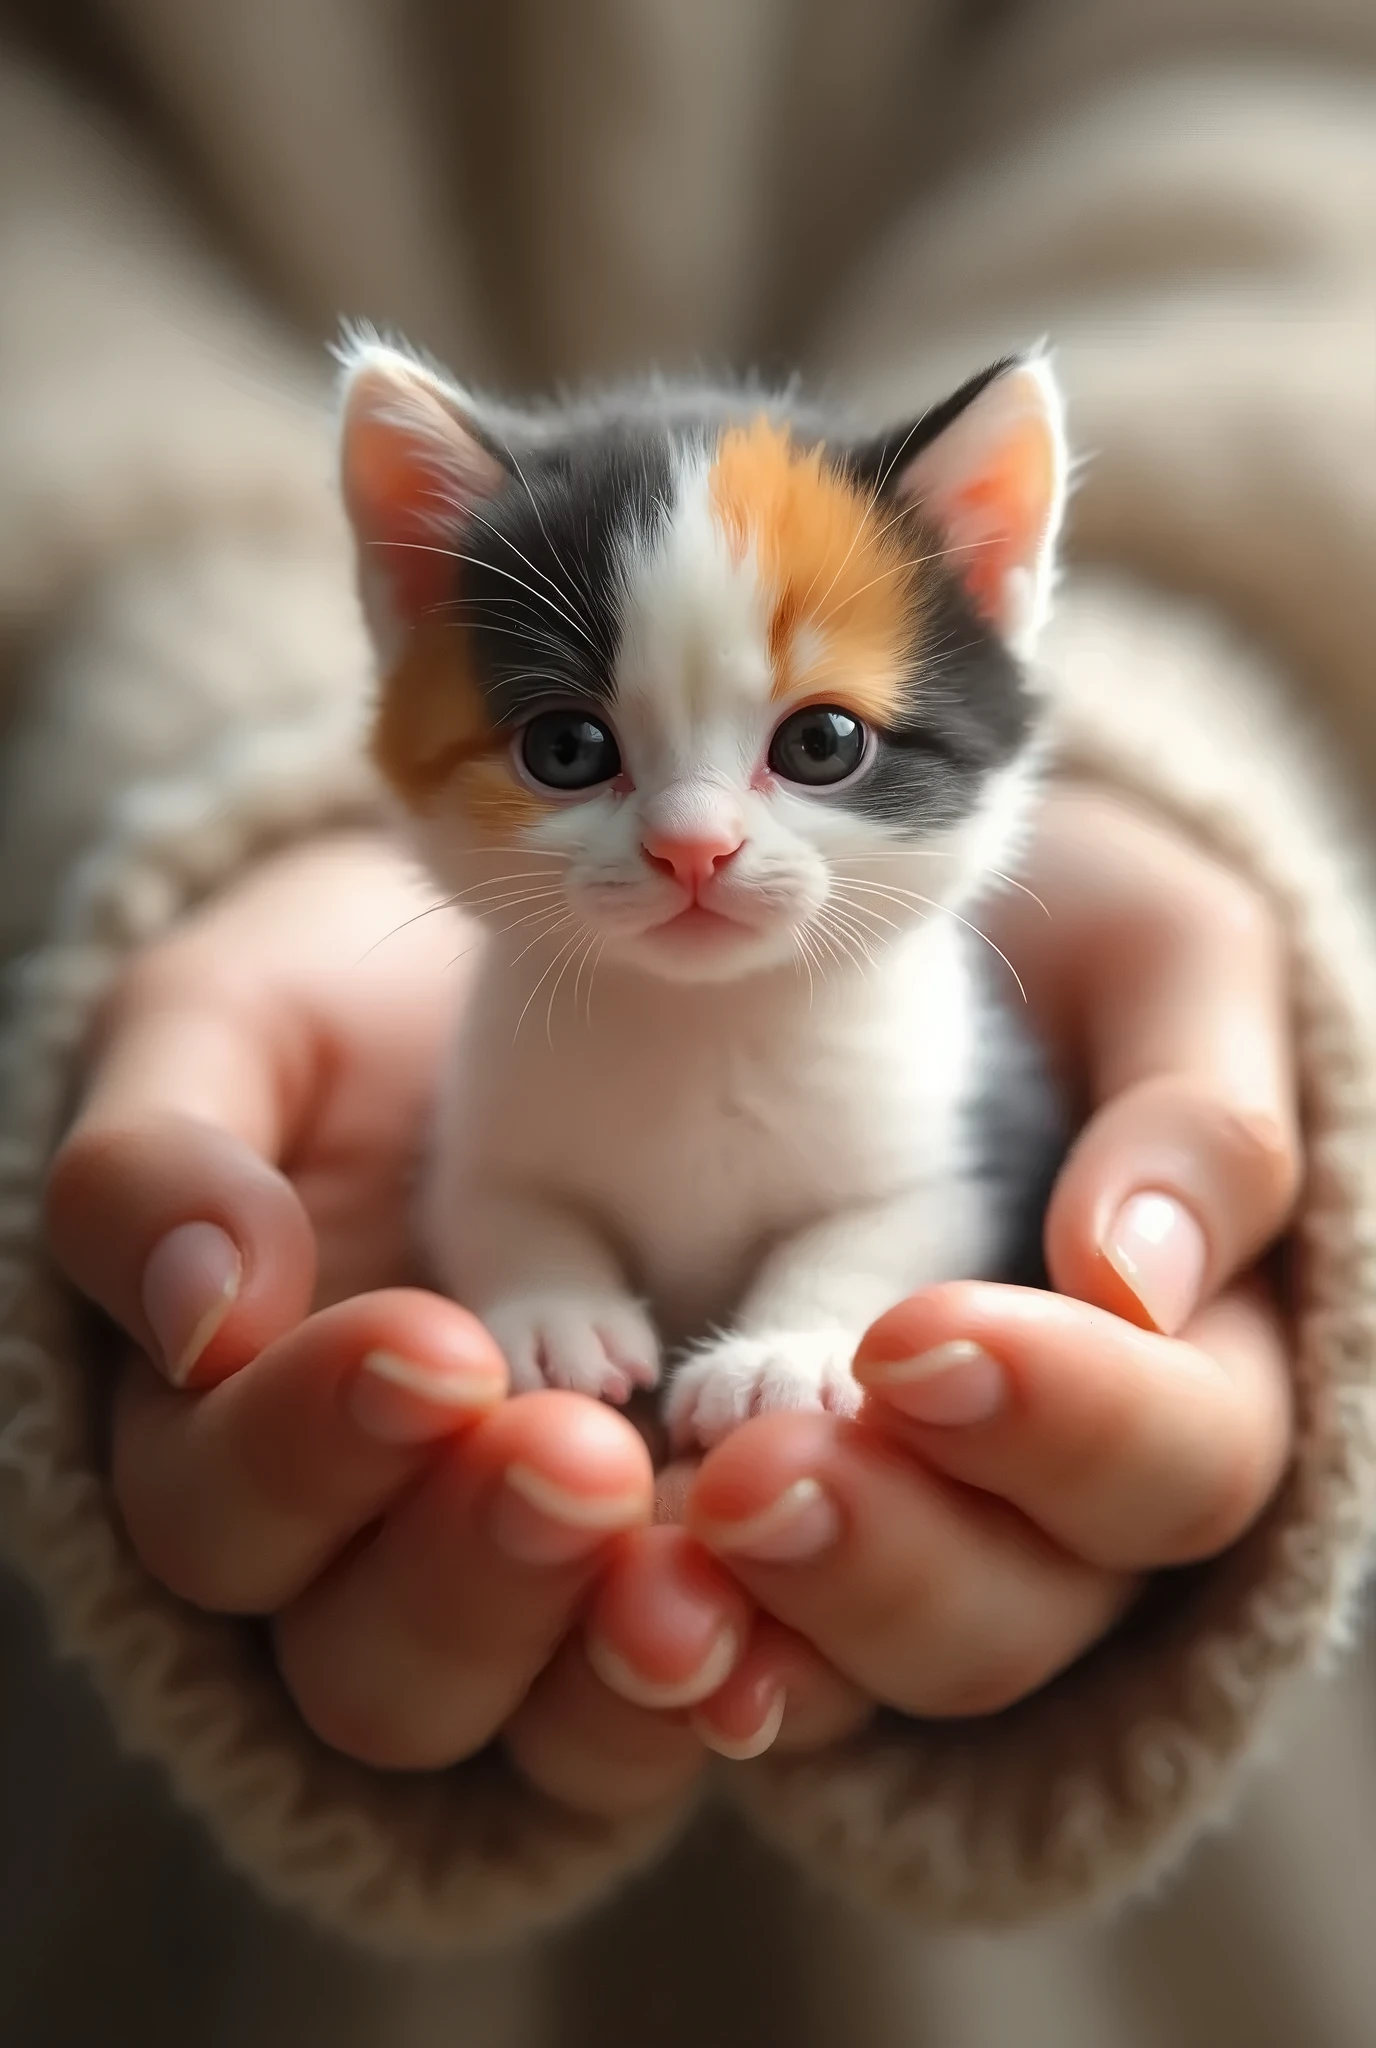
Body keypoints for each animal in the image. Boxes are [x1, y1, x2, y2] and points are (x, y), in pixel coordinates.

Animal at [337, 335, 1072, 1449]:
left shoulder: (975, 1128)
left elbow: (880, 1230)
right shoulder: (481, 1109)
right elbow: (493, 1201)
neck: (704, 1018)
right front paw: (554, 1313)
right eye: (566, 749)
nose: (693, 847)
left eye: (822, 743)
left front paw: (785, 1352)